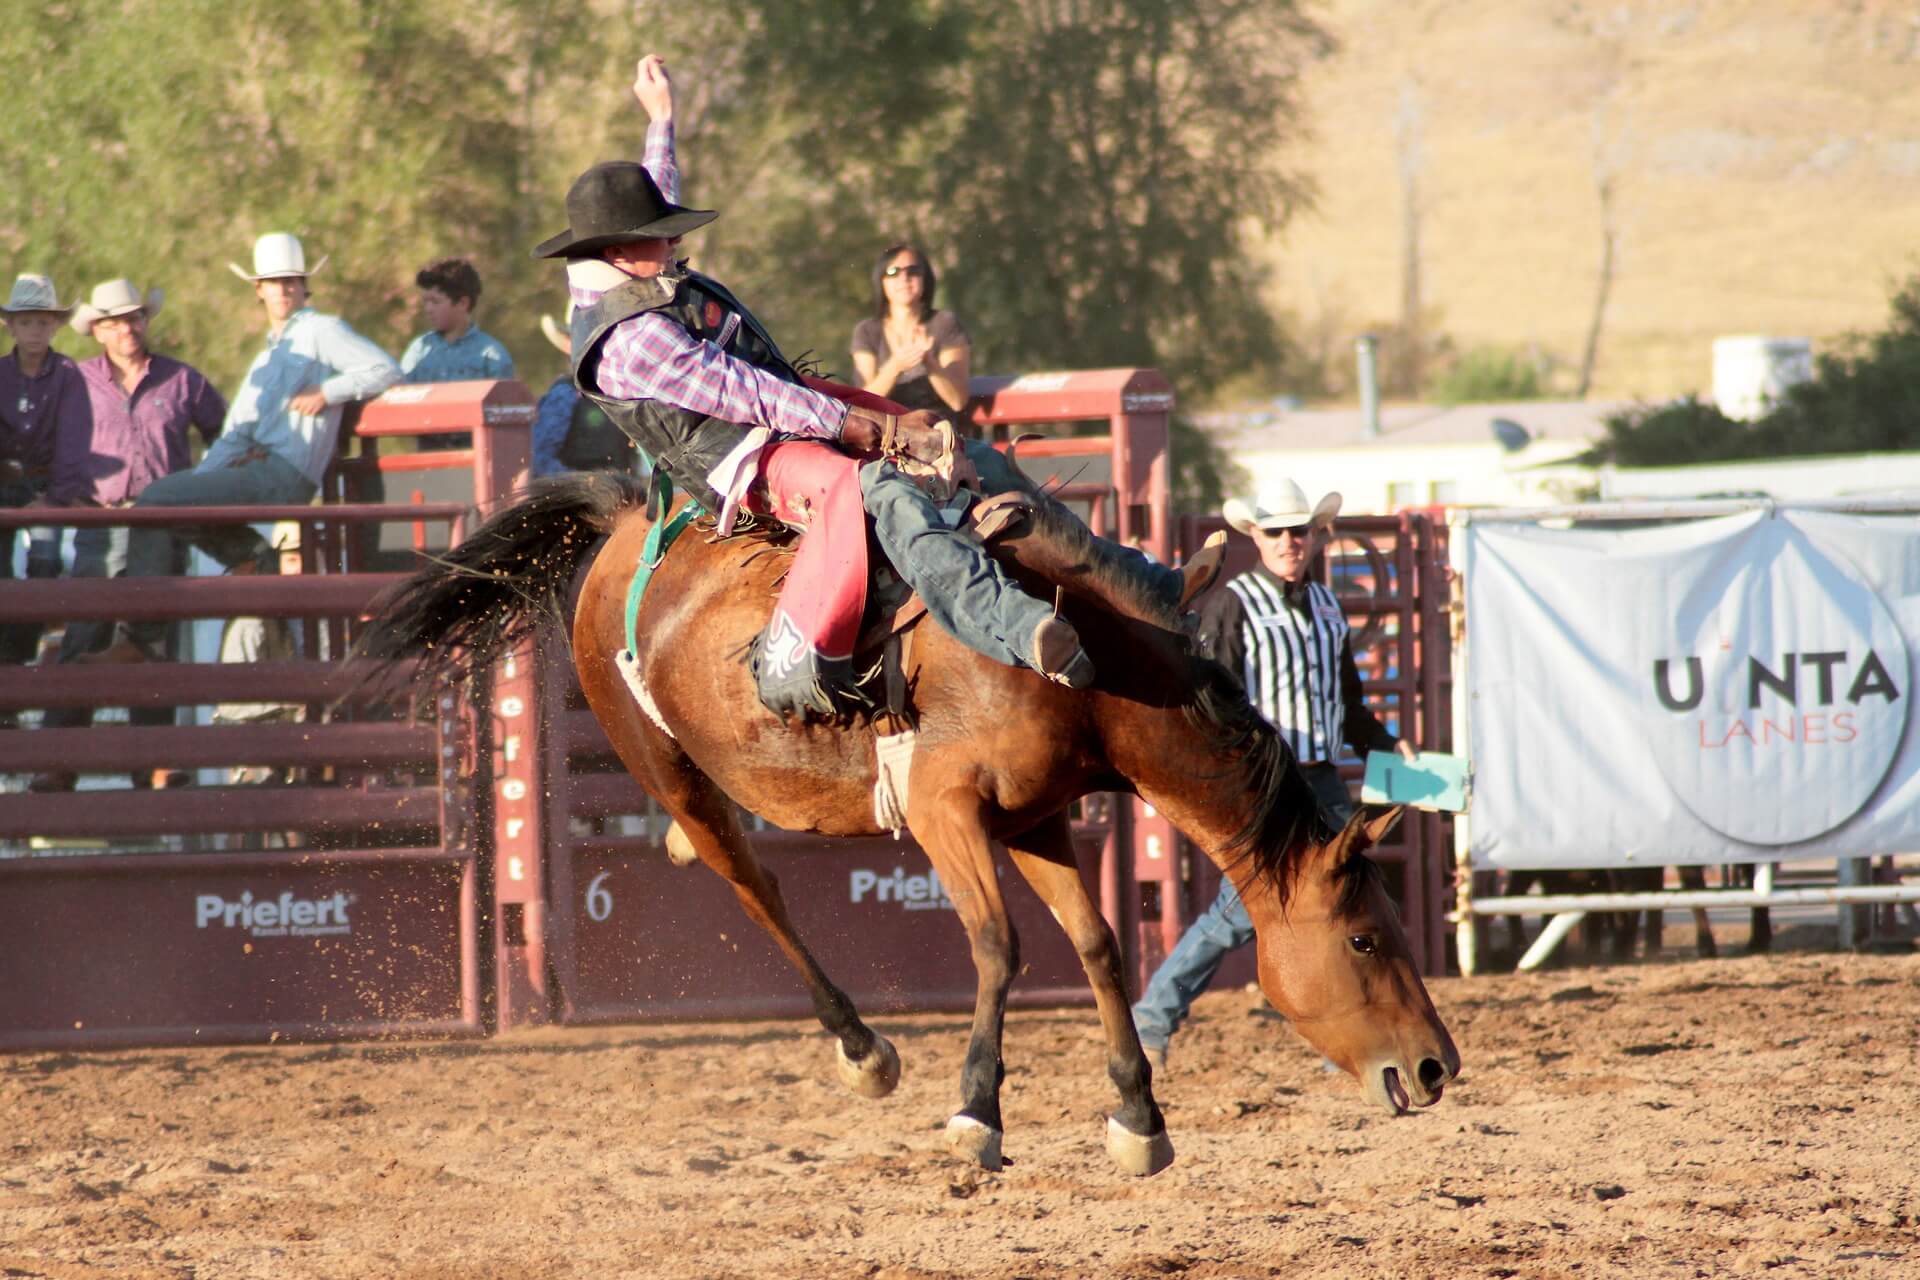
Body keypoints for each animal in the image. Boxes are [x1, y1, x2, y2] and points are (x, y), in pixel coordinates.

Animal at [366, 470, 1459, 1174]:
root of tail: (632, 520)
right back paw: (861, 1047)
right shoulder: (946, 811)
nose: (1437, 1066)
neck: (1081, 671)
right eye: (1365, 936)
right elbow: (997, 941)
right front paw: (977, 1111)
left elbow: (1097, 943)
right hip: (666, 763)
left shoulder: (1036, 820)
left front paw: (1137, 1115)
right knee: (751, 882)